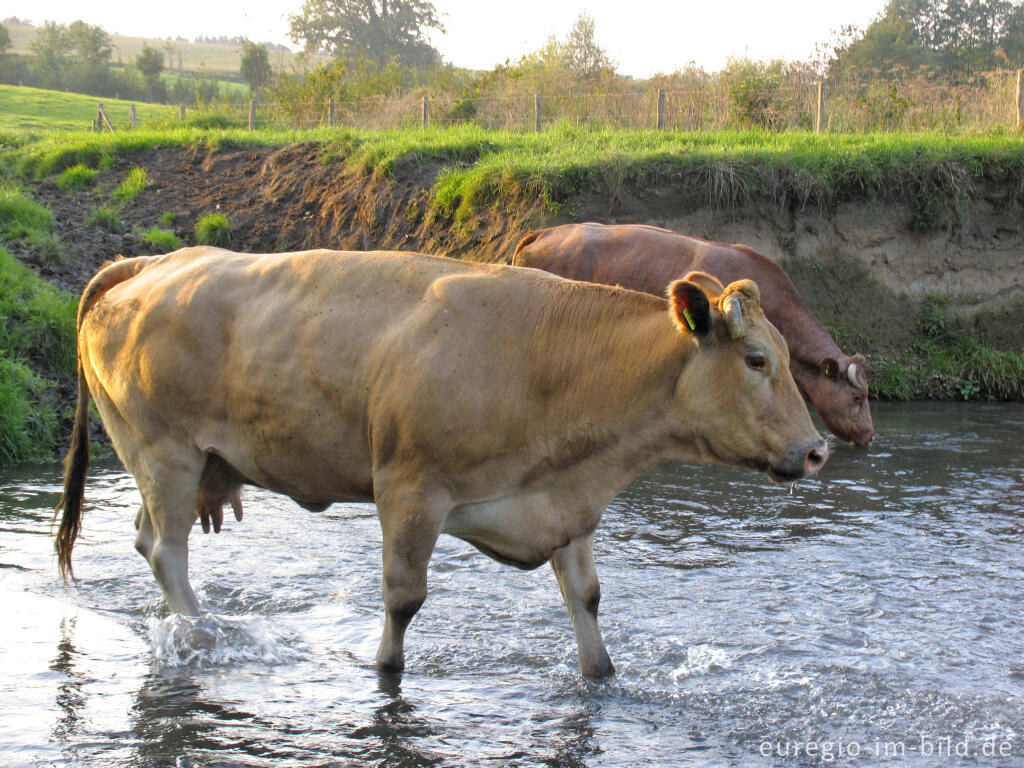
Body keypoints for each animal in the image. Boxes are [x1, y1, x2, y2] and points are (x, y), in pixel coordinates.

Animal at [54, 246, 823, 679]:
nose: (816, 449)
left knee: (148, 541)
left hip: (184, 460)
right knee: (166, 549)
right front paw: (385, 671)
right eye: (758, 361)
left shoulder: (565, 503)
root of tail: (151, 264)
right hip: (163, 449)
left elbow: (587, 599)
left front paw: (603, 675)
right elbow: (403, 600)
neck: (546, 363)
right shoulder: (409, 490)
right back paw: (202, 631)